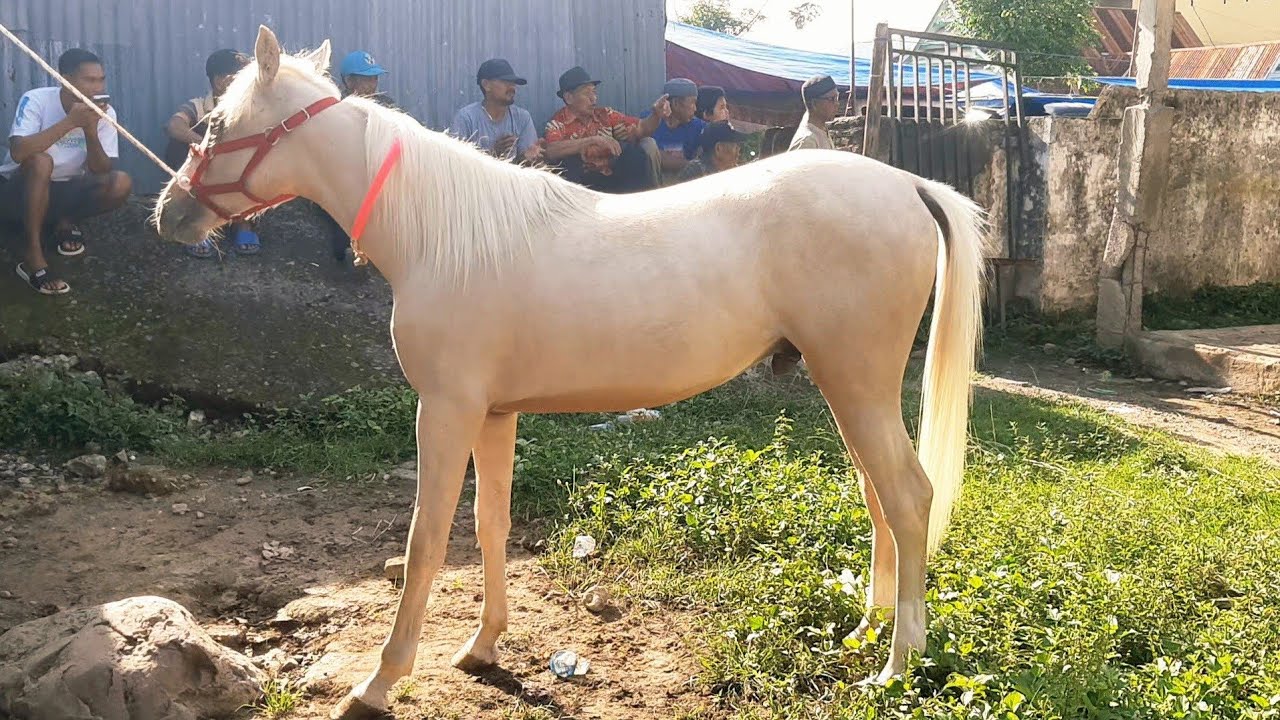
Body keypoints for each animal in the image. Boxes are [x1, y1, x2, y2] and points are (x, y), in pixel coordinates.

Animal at [153, 26, 988, 718]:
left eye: (217, 125)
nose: (170, 214)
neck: (442, 235)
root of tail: (907, 185)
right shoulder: (493, 413)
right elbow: (489, 524)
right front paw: (482, 646)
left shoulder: (445, 408)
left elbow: (427, 540)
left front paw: (379, 683)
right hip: (846, 385)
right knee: (879, 496)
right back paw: (868, 628)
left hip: (857, 381)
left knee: (908, 498)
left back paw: (897, 664)